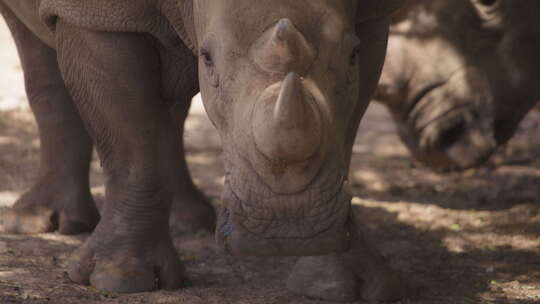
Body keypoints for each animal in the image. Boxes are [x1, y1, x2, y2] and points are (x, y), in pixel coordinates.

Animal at [0, 0, 410, 302]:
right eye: (208, 58)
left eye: (353, 54)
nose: (287, 229)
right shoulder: (98, 17)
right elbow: (131, 143)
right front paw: (118, 279)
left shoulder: (373, 15)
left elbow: (346, 130)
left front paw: (345, 284)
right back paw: (42, 223)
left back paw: (190, 222)